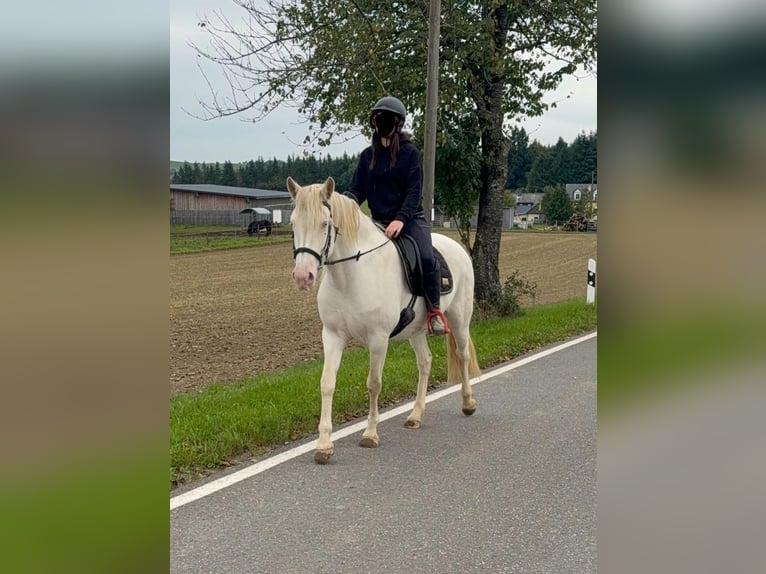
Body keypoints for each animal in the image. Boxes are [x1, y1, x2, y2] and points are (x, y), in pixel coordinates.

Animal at [287, 176, 481, 464]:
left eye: (324, 224)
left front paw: (370, 434)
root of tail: (456, 247)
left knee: (462, 354)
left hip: (459, 317)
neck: (351, 275)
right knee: (425, 362)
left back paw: (468, 403)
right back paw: (415, 415)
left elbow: (374, 383)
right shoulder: (332, 336)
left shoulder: (378, 340)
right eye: (293, 223)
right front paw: (323, 445)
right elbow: (327, 383)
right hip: (416, 331)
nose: (303, 276)